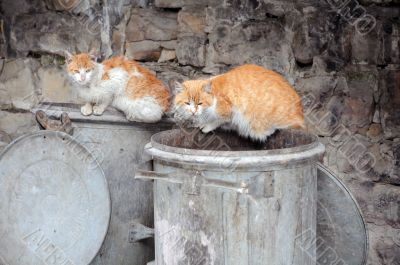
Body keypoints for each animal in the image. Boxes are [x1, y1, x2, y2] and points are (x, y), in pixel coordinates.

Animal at [173, 63, 304, 140]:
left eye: (200, 103)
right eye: (187, 103)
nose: (193, 111)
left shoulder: (230, 111)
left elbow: (219, 120)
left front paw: (207, 126)